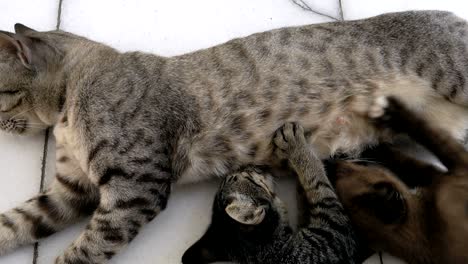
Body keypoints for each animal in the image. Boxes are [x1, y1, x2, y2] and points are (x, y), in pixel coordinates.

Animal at [181, 123, 360, 264]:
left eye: (230, 177)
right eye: (242, 175)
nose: (241, 164)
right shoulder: (335, 232)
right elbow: (314, 178)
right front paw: (296, 147)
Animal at [328, 97, 468, 264]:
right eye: (342, 172)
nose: (330, 164)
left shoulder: (428, 174)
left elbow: (399, 159)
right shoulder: (456, 166)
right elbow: (430, 135)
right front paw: (392, 109)